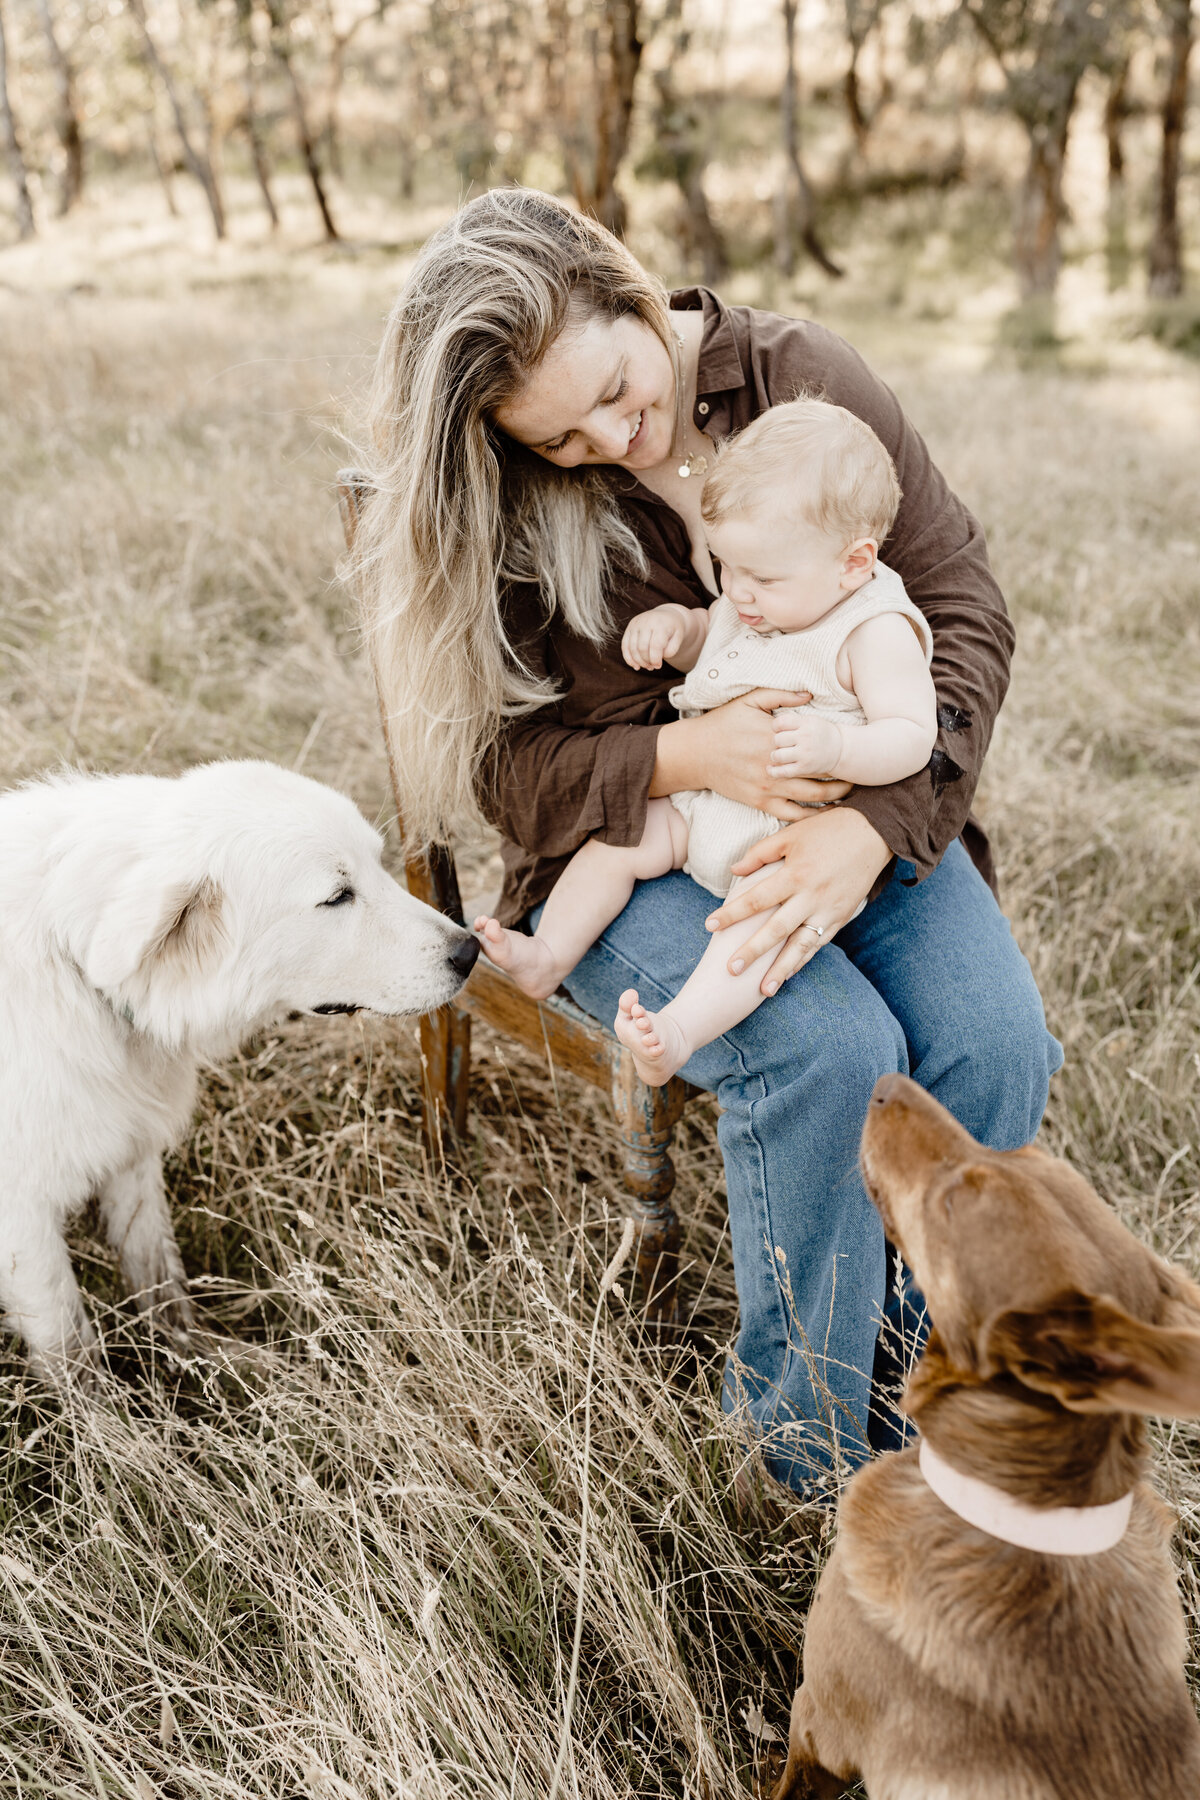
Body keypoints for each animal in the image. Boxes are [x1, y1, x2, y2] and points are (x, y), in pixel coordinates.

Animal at [0, 759, 478, 1375]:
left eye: (379, 864)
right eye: (337, 896)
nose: (470, 952)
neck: (79, 972)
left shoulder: (130, 1157)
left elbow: (161, 1282)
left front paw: (202, 1359)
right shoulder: (23, 1218)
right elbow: (70, 1346)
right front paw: (106, 1405)